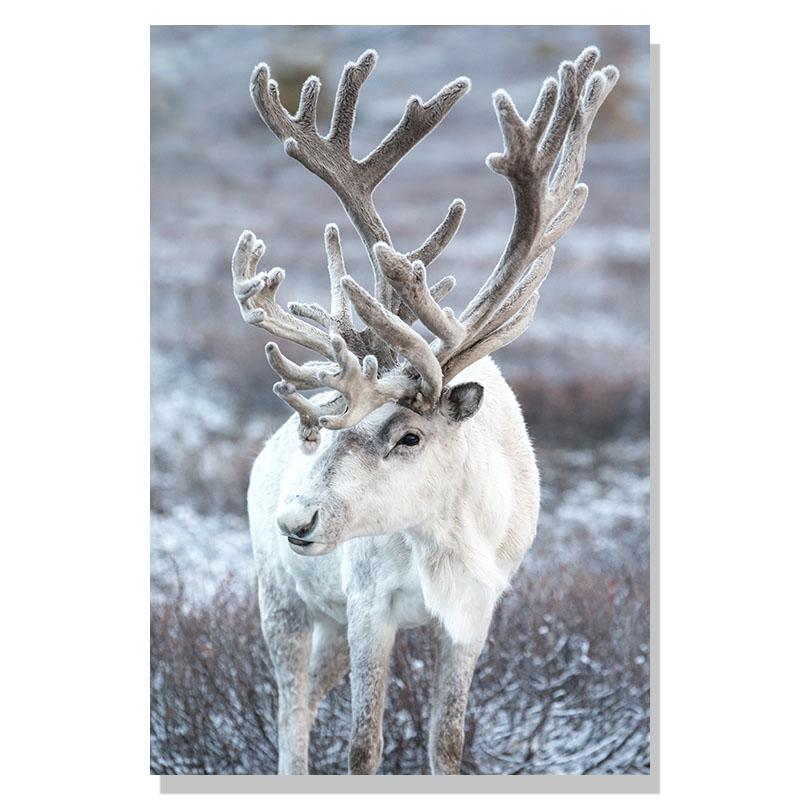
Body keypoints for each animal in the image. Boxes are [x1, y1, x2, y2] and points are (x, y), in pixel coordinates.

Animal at [231, 45, 618, 775]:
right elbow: (363, 746)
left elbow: (447, 741)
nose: (297, 519)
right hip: (284, 600)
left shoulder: (474, 615)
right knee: (291, 715)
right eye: (330, 430)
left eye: (409, 436)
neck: (446, 539)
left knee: (310, 697)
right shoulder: (366, 607)